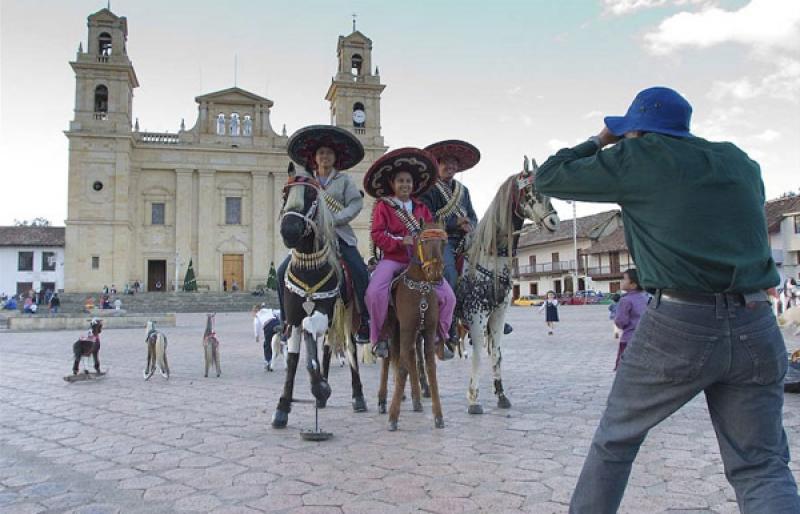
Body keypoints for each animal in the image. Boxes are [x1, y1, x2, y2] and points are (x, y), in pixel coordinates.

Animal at [376, 220, 446, 428]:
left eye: (444, 242)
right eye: (422, 241)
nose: (435, 273)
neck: (420, 289)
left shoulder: (427, 331)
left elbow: (429, 367)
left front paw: (438, 415)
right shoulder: (406, 328)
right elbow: (400, 366)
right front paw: (393, 417)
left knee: (411, 357)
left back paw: (416, 399)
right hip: (392, 327)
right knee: (389, 358)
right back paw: (382, 400)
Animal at [454, 158, 560, 414]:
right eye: (531, 191)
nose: (554, 221)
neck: (489, 258)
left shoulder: (499, 313)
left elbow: (497, 353)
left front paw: (501, 395)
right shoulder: (476, 314)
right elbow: (479, 353)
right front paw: (473, 399)